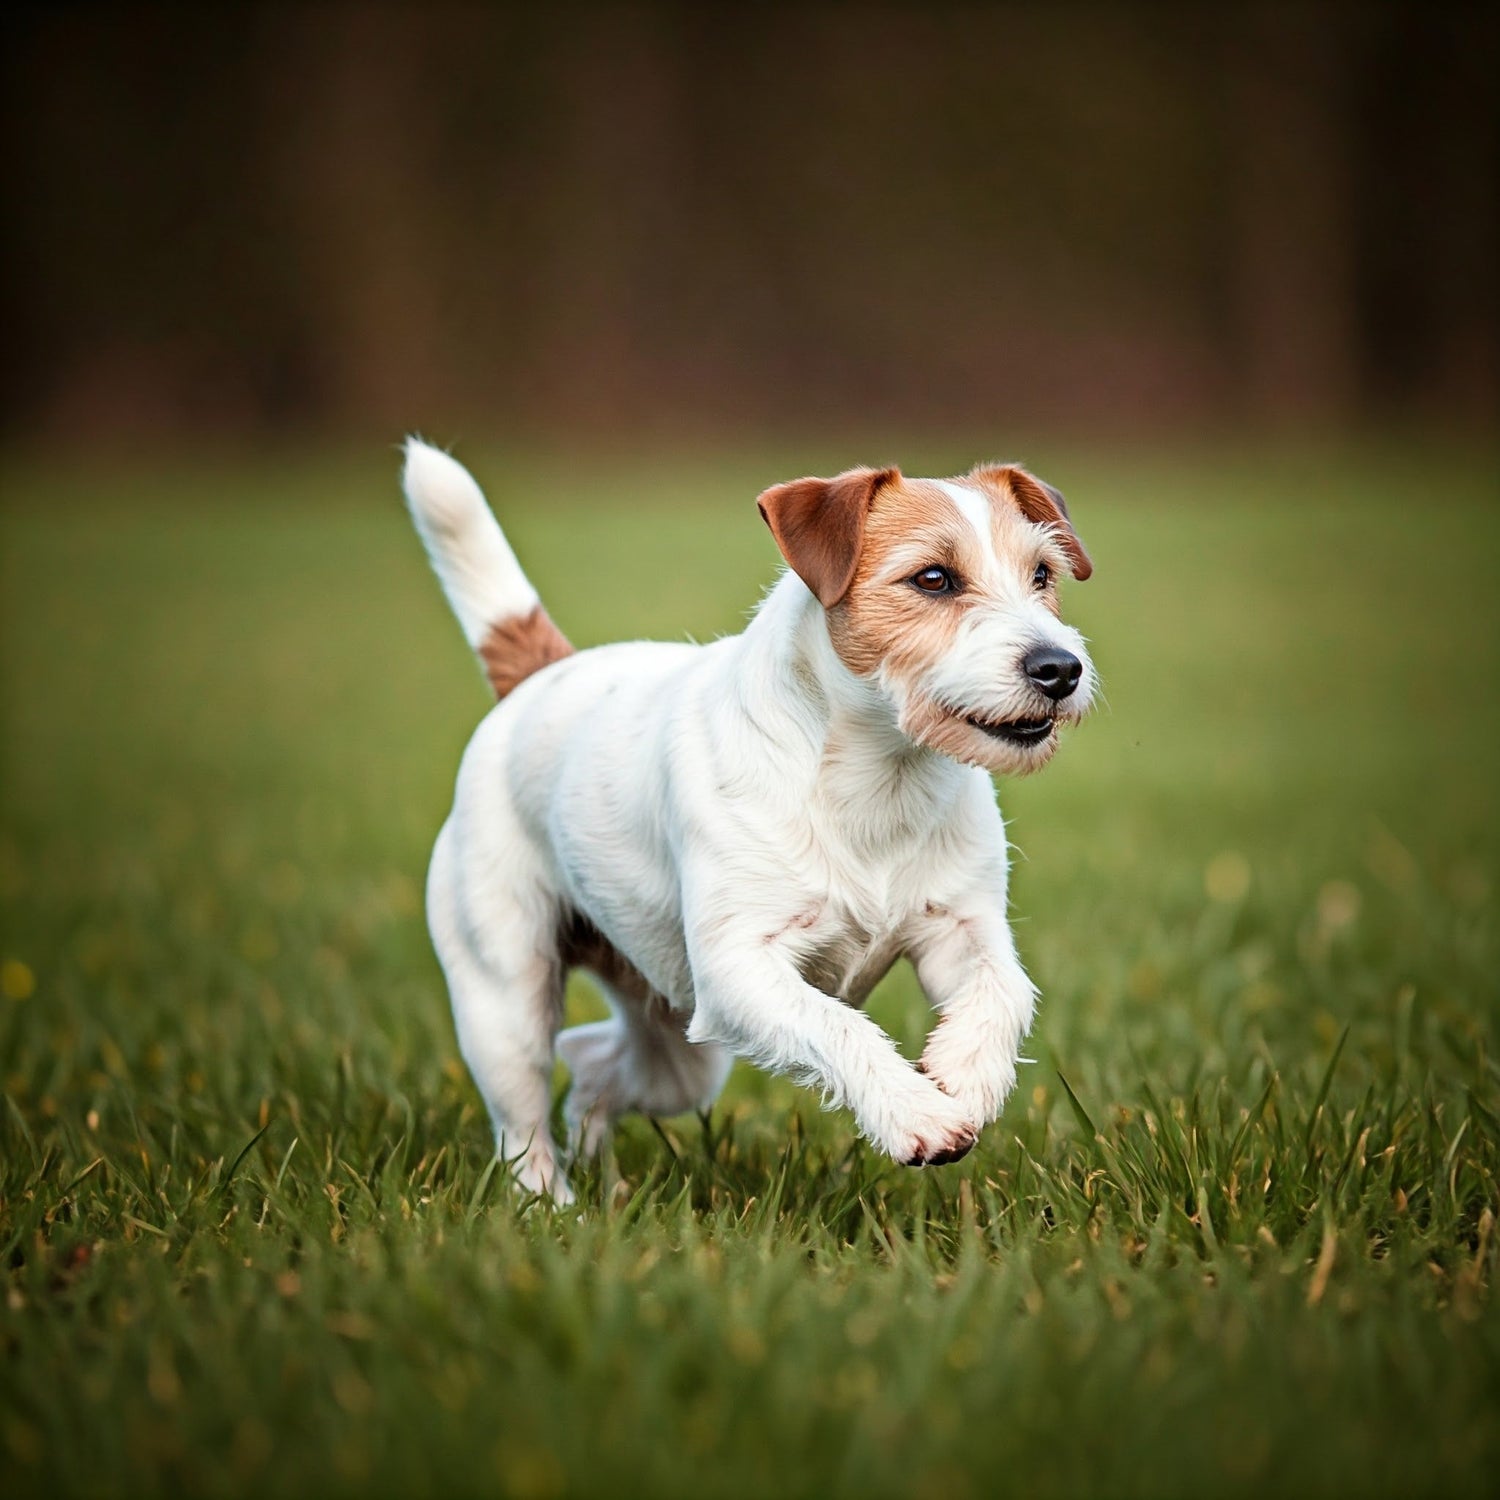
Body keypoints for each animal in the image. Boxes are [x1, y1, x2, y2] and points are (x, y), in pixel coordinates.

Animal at [405, 438, 1098, 1200]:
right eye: (934, 578)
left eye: (1042, 573)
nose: (1060, 668)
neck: (878, 776)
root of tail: (538, 677)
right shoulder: (739, 969)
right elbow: (837, 1027)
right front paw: (916, 1114)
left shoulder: (961, 929)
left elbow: (1005, 990)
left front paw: (968, 1075)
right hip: (506, 1001)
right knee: (524, 1122)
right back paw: (554, 1207)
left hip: (680, 1045)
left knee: (592, 1064)